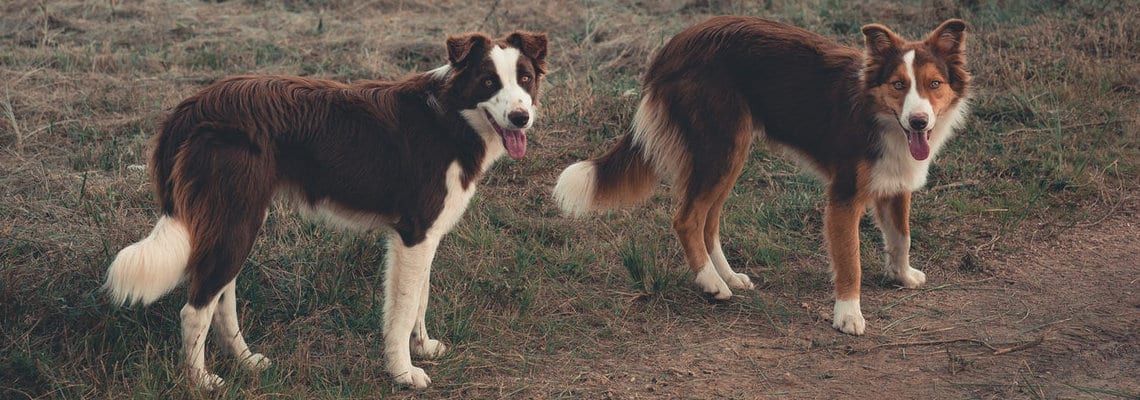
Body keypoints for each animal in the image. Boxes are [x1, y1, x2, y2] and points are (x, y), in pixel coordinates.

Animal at [106, 32, 547, 392]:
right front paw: (404, 373)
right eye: (489, 82)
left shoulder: (426, 235)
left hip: (236, 219)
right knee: (195, 309)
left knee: (221, 298)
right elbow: (404, 309)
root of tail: (192, 105)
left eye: (524, 79)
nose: (521, 117)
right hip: (235, 219)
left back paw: (246, 361)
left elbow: (419, 299)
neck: (451, 116)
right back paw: (201, 380)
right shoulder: (413, 234)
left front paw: (422, 347)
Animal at [556, 16, 966, 335]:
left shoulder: (896, 183)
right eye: (898, 84)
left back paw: (728, 276)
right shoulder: (844, 196)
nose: (919, 121)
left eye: (934, 84)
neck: (877, 113)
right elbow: (851, 260)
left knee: (708, 221)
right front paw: (848, 314)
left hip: (729, 153)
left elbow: (901, 237)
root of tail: (674, 44)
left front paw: (903, 275)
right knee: (687, 218)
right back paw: (710, 282)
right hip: (721, 147)